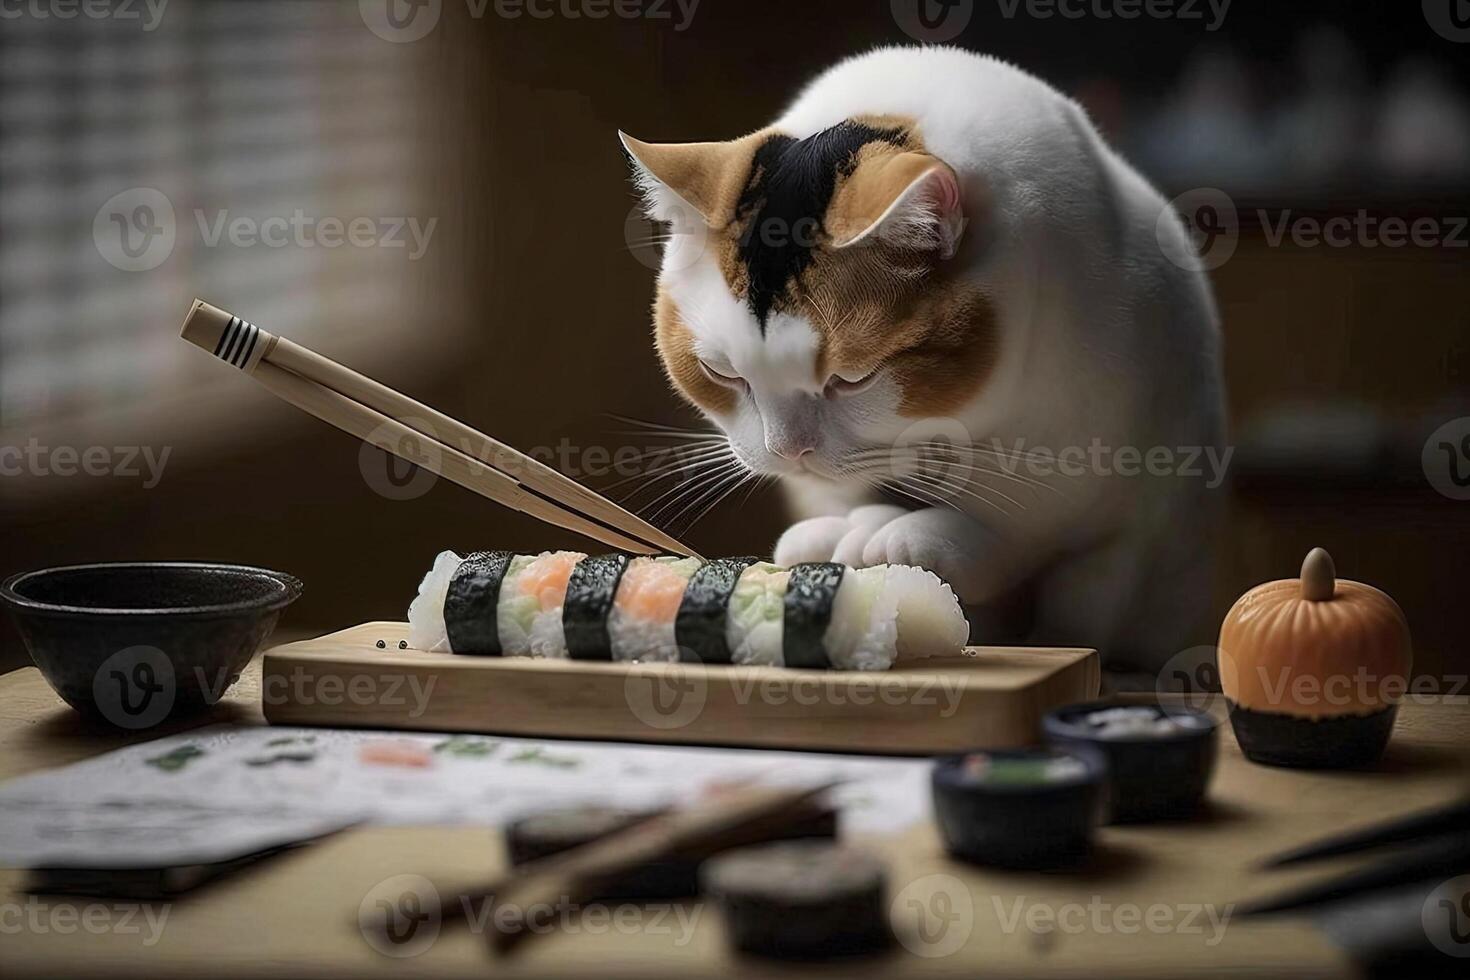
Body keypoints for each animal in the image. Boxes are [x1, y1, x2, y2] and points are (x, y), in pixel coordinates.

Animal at [620, 45, 1228, 675]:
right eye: (723, 374)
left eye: (852, 380)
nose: (789, 452)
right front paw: (837, 536)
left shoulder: (1103, 480)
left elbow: (1037, 546)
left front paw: (913, 539)